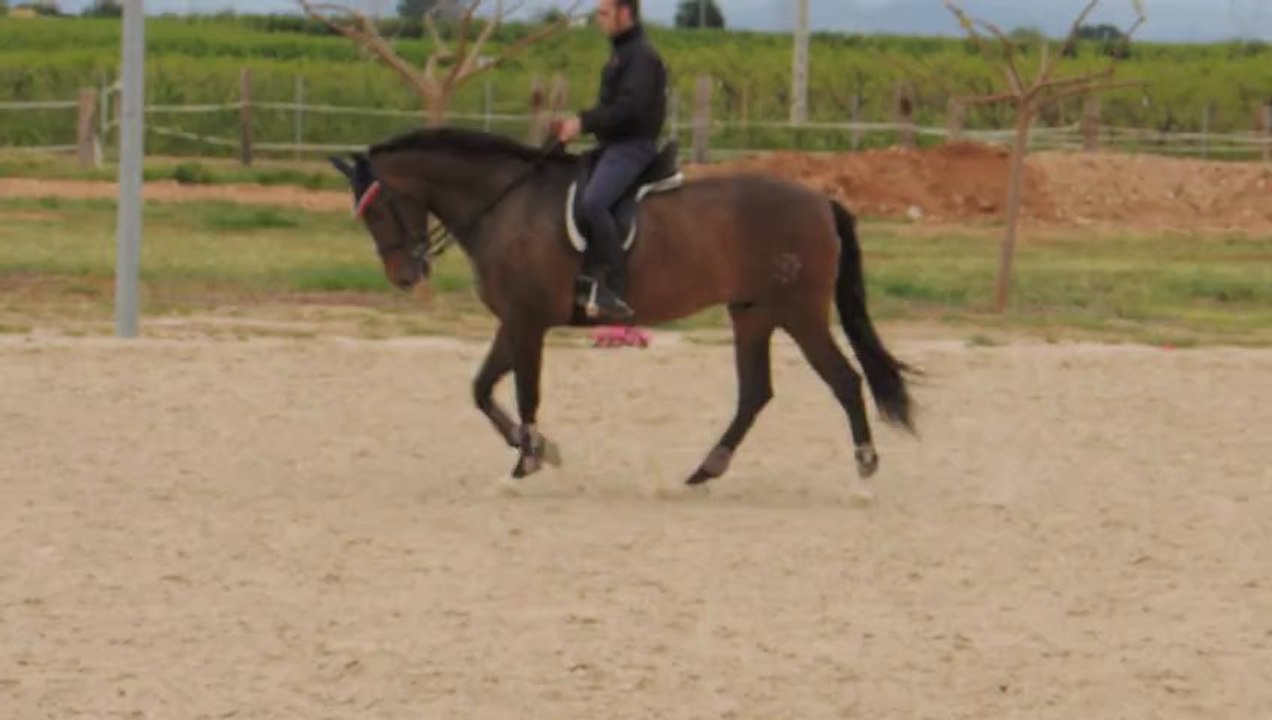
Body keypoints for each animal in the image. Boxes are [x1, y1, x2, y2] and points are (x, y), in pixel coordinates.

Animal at [328, 126, 918, 486]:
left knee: (844, 380)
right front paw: (541, 450)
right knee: (756, 393)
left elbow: (525, 391)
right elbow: (481, 388)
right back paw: (706, 469)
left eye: (376, 210)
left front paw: (526, 462)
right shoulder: (514, 321)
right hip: (752, 313)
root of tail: (820, 200)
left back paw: (865, 471)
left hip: (799, 313)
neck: (506, 204)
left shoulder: (528, 322)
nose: (405, 276)